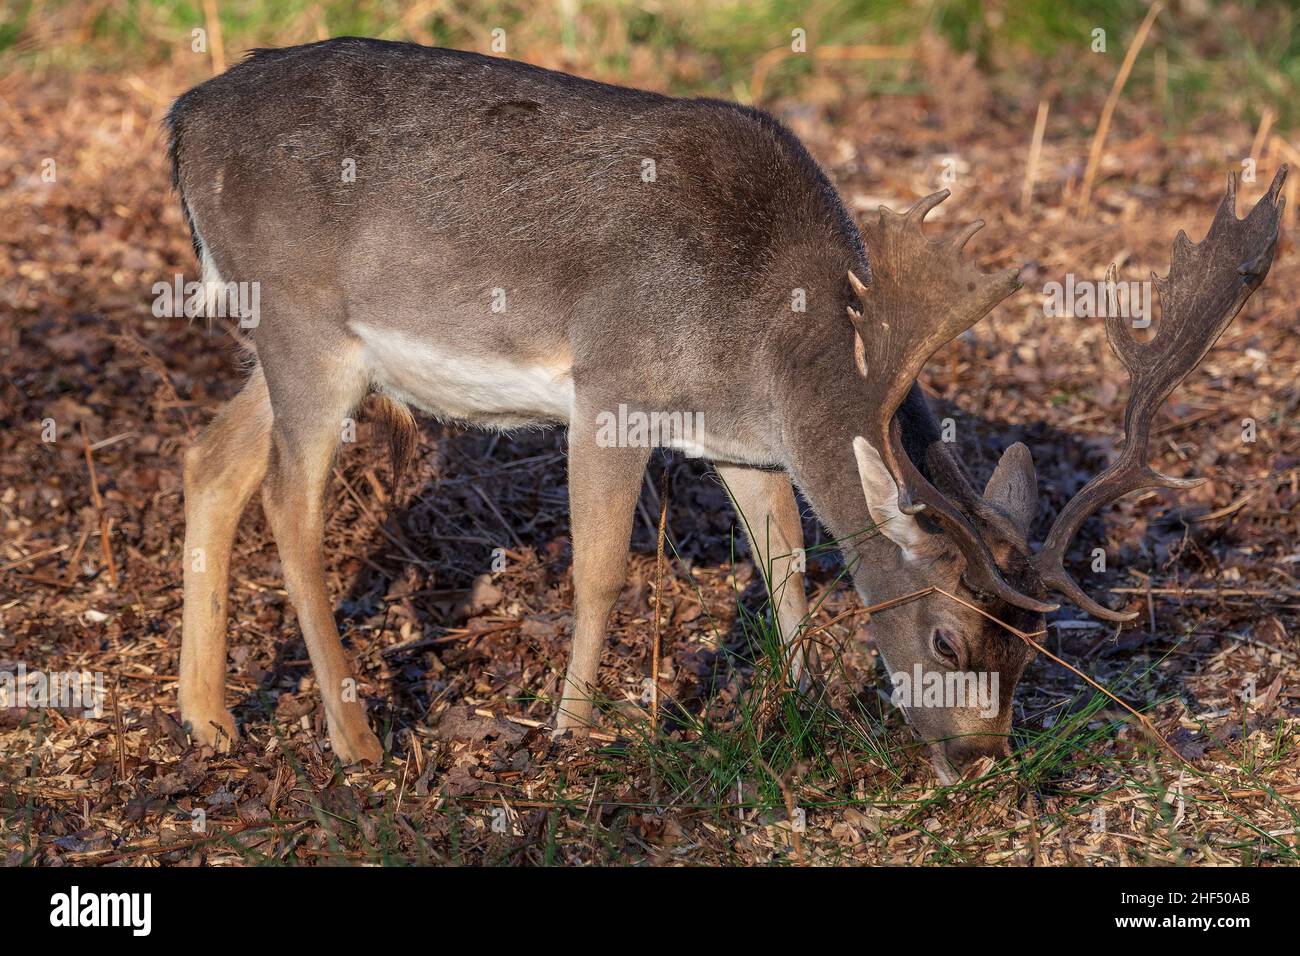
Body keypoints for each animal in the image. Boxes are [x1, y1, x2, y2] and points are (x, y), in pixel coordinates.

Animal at [165, 39, 1289, 785]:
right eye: (945, 642)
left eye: (1028, 649)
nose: (979, 765)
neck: (763, 337)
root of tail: (183, 120)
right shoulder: (610, 380)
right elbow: (601, 572)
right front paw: (572, 732)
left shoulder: (743, 441)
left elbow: (786, 562)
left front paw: (797, 708)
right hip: (306, 320)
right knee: (288, 499)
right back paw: (353, 740)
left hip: (291, 340)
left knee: (210, 457)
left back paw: (209, 719)